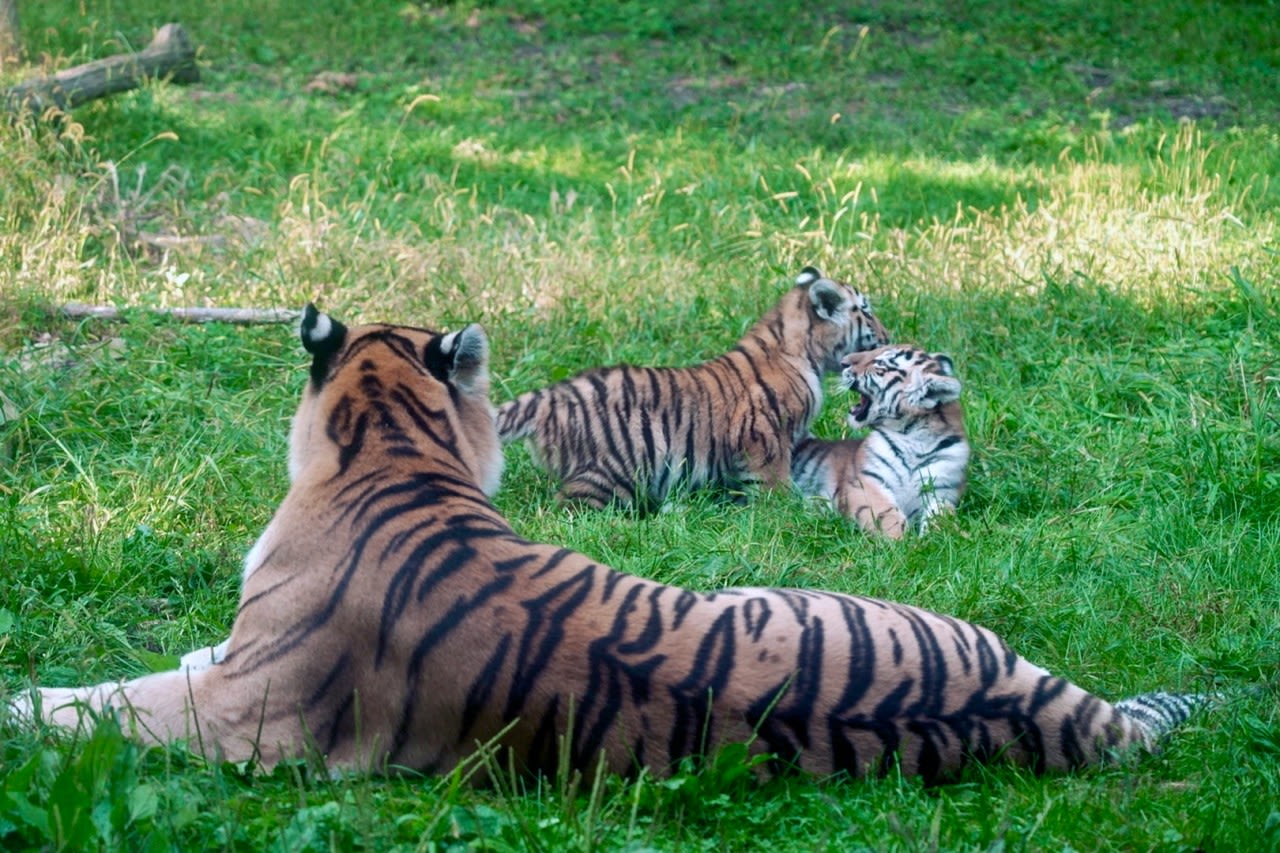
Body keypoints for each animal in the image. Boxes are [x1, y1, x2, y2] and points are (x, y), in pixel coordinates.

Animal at [496, 263, 890, 504]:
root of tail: (551, 395)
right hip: (608, 470)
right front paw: (783, 510)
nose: (888, 336)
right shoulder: (765, 435)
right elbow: (774, 481)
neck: (802, 353)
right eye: (866, 311)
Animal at [788, 343, 967, 535]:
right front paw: (902, 540)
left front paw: (934, 537)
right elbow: (886, 514)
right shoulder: (866, 482)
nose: (843, 362)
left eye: (879, 363)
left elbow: (941, 517)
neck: (915, 439)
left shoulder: (942, 490)